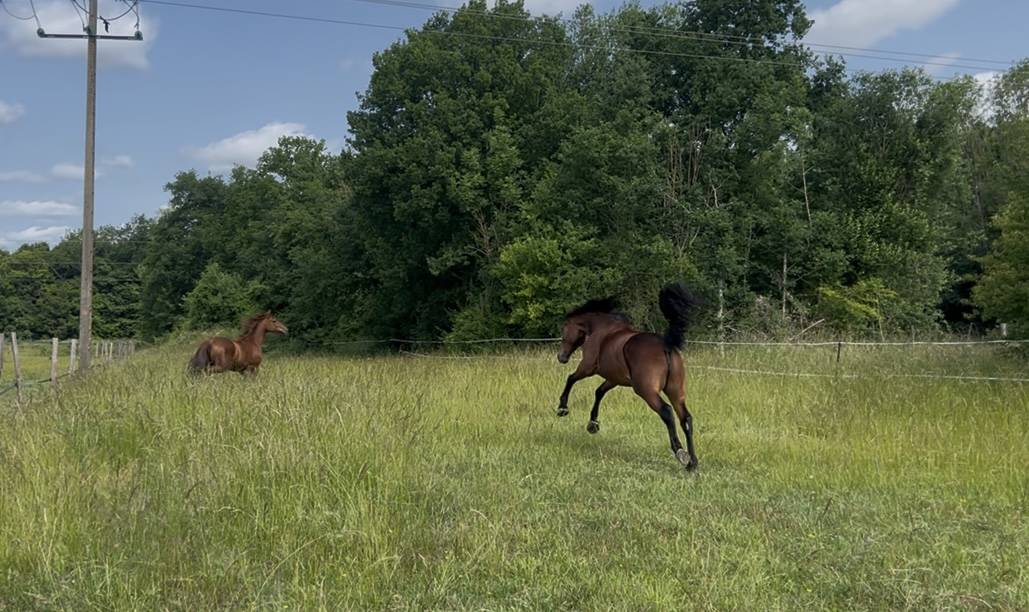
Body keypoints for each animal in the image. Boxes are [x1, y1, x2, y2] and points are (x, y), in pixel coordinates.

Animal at [555, 283, 700, 471]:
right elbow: (599, 392)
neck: (602, 331)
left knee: (667, 412)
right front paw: (593, 425)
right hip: (676, 391)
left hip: (647, 391)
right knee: (686, 419)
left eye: (564, 329)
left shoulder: (587, 367)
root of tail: (665, 345)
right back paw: (692, 463)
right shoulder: (614, 378)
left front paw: (562, 408)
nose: (561, 357)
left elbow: (571, 378)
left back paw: (680, 452)